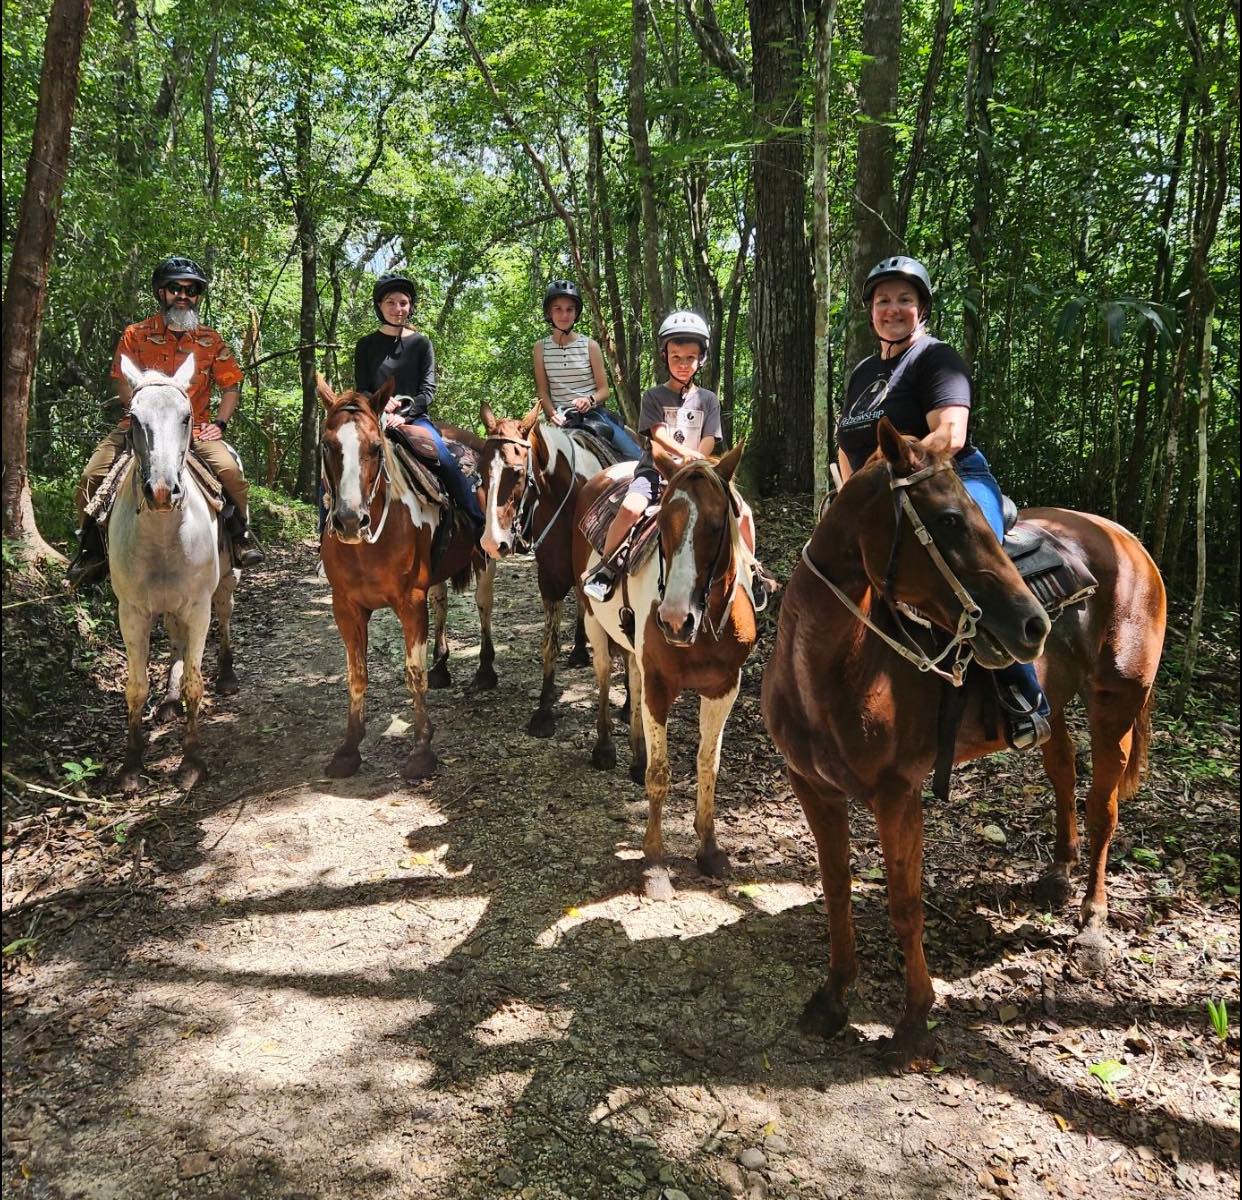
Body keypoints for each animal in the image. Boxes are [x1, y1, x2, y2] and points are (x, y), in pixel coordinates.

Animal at [110, 352, 240, 795]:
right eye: (133, 417)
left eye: (186, 418)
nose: (163, 491)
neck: (165, 533)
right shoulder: (132, 612)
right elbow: (135, 687)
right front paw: (132, 763)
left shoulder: (198, 607)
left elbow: (195, 684)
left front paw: (191, 763)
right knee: (175, 641)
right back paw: (168, 702)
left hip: (225, 583)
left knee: (225, 615)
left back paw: (227, 674)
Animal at [317, 380, 491, 785]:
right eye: (328, 445)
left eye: (375, 447)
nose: (351, 521)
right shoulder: (346, 607)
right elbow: (357, 675)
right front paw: (348, 750)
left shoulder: (410, 602)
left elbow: (414, 672)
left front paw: (422, 751)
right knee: (442, 602)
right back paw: (443, 666)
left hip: (484, 556)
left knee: (483, 604)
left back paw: (486, 671)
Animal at [476, 407, 608, 735]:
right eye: (481, 471)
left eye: (516, 472)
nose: (491, 542)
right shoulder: (549, 580)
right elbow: (549, 645)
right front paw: (544, 710)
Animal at [568, 447, 755, 899]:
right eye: (662, 525)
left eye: (717, 524)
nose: (673, 621)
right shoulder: (659, 683)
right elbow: (661, 772)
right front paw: (654, 863)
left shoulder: (725, 687)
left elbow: (708, 765)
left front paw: (709, 849)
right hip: (594, 623)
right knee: (605, 678)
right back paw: (606, 748)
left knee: (631, 682)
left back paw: (636, 755)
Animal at [760, 417, 1167, 1068]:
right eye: (948, 519)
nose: (1033, 624)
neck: (832, 667)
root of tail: (1126, 539)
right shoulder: (813, 787)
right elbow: (836, 890)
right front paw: (833, 996)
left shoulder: (897, 795)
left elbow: (905, 905)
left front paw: (912, 1022)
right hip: (1056, 707)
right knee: (1062, 766)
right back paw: (1058, 872)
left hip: (1117, 705)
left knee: (1103, 806)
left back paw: (1092, 927)